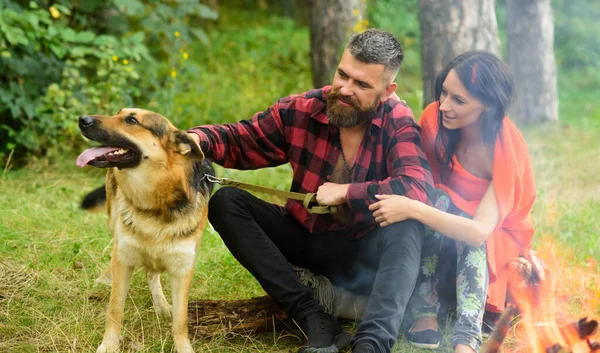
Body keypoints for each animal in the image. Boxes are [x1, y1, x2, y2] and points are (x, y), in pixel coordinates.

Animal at [76, 108, 214, 352]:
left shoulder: (182, 268)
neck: (156, 203)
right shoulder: (124, 259)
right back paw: (105, 277)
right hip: (114, 223)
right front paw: (109, 345)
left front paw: (183, 346)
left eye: (132, 120)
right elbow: (115, 310)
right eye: (118, 113)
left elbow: (180, 320)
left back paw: (160, 303)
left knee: (152, 273)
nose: (82, 119)